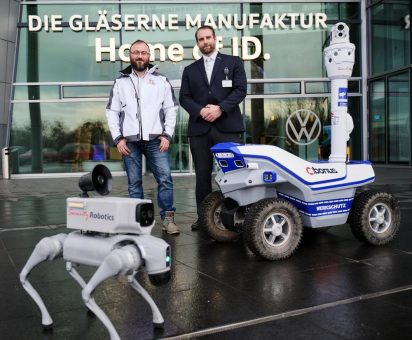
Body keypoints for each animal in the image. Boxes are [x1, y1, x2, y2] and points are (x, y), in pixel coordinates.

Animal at [18, 163, 171, 338]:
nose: (163, 278)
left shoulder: (129, 262)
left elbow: (130, 281)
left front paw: (158, 320)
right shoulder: (117, 260)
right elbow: (87, 293)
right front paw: (115, 335)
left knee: (67, 267)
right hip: (53, 247)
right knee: (32, 264)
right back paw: (46, 320)